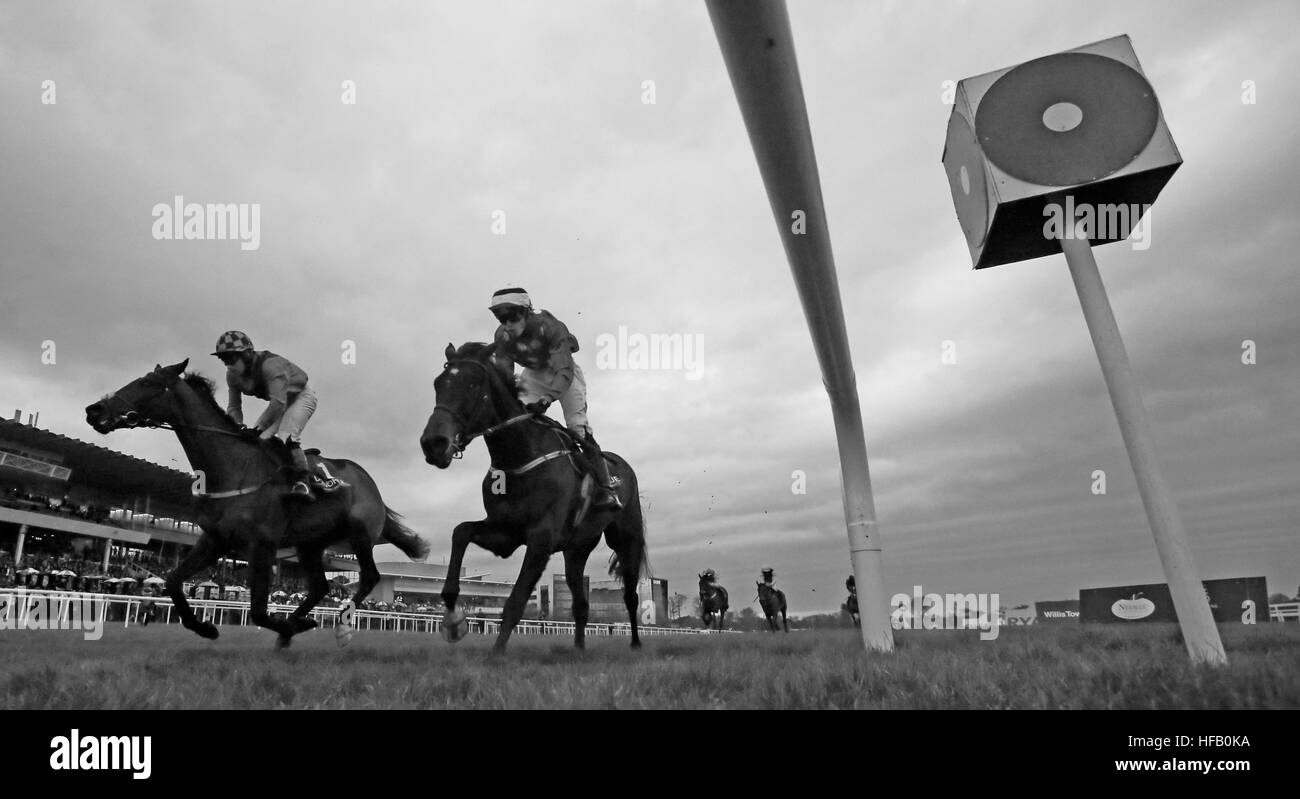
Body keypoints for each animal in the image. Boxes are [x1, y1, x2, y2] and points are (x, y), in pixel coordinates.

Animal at [83, 363, 428, 649]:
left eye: (147, 383)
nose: (93, 410)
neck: (233, 468)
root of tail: (371, 484)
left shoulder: (262, 542)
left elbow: (260, 611)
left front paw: (287, 626)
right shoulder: (216, 538)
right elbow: (173, 581)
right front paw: (206, 627)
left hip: (360, 533)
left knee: (369, 576)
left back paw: (339, 627)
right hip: (310, 544)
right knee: (319, 586)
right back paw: (297, 621)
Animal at [418, 342, 647, 657]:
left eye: (473, 383)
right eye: (438, 384)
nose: (433, 443)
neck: (519, 455)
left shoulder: (541, 539)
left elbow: (515, 601)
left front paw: (496, 654)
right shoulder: (505, 532)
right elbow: (460, 532)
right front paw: (453, 621)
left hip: (626, 539)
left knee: (630, 595)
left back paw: (635, 643)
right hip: (576, 550)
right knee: (580, 603)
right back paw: (578, 649)